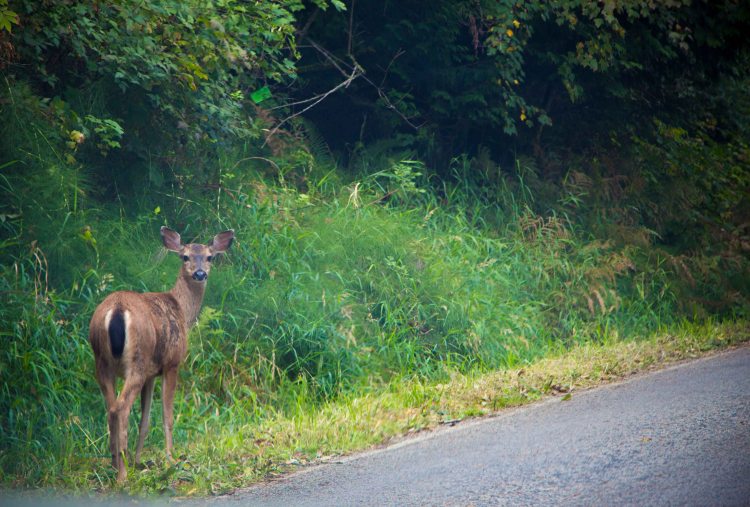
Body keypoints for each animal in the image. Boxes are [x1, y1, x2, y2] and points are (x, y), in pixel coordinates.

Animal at [88, 226, 234, 482]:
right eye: (185, 256)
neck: (182, 310)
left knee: (110, 408)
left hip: (102, 361)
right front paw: (170, 459)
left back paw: (116, 463)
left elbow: (145, 420)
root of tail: (116, 310)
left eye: (209, 257)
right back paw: (122, 474)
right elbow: (167, 415)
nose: (199, 274)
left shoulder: (150, 374)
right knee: (120, 408)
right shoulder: (171, 363)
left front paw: (139, 461)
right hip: (137, 359)